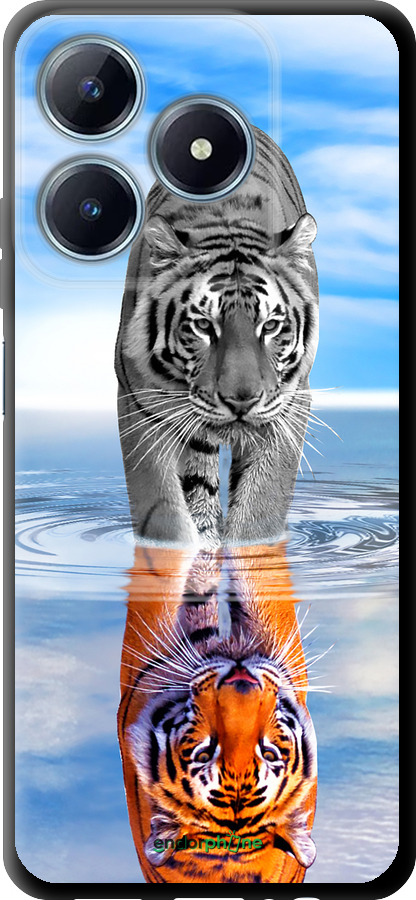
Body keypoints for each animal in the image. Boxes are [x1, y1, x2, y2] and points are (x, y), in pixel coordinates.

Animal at [115, 126, 319, 548]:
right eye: (204, 326)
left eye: (270, 326)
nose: (241, 401)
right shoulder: (139, 402)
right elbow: (163, 511)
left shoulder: (290, 405)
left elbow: (261, 508)